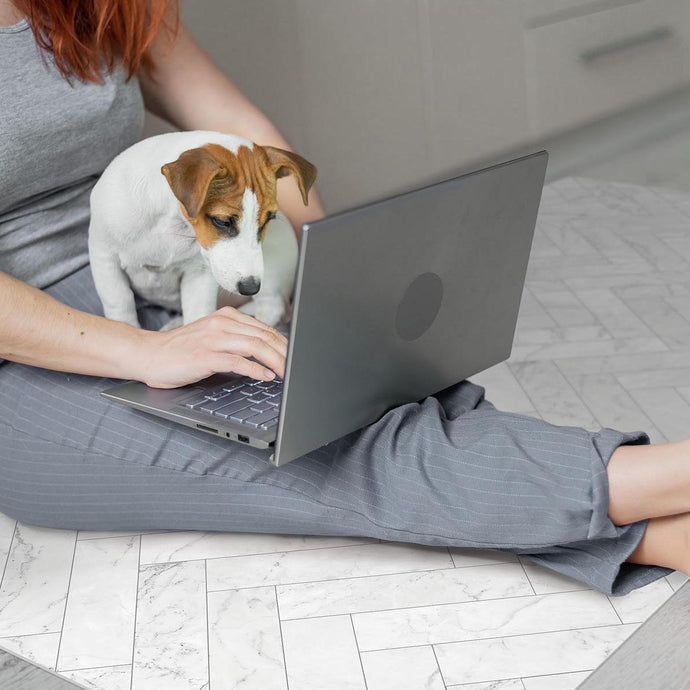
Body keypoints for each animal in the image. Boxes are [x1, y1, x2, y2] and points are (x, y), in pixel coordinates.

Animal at [86, 134, 318, 330]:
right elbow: (119, 303)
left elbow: (199, 317)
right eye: (222, 221)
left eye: (268, 219)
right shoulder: (104, 258)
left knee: (272, 309)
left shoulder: (199, 274)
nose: (250, 287)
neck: (171, 225)